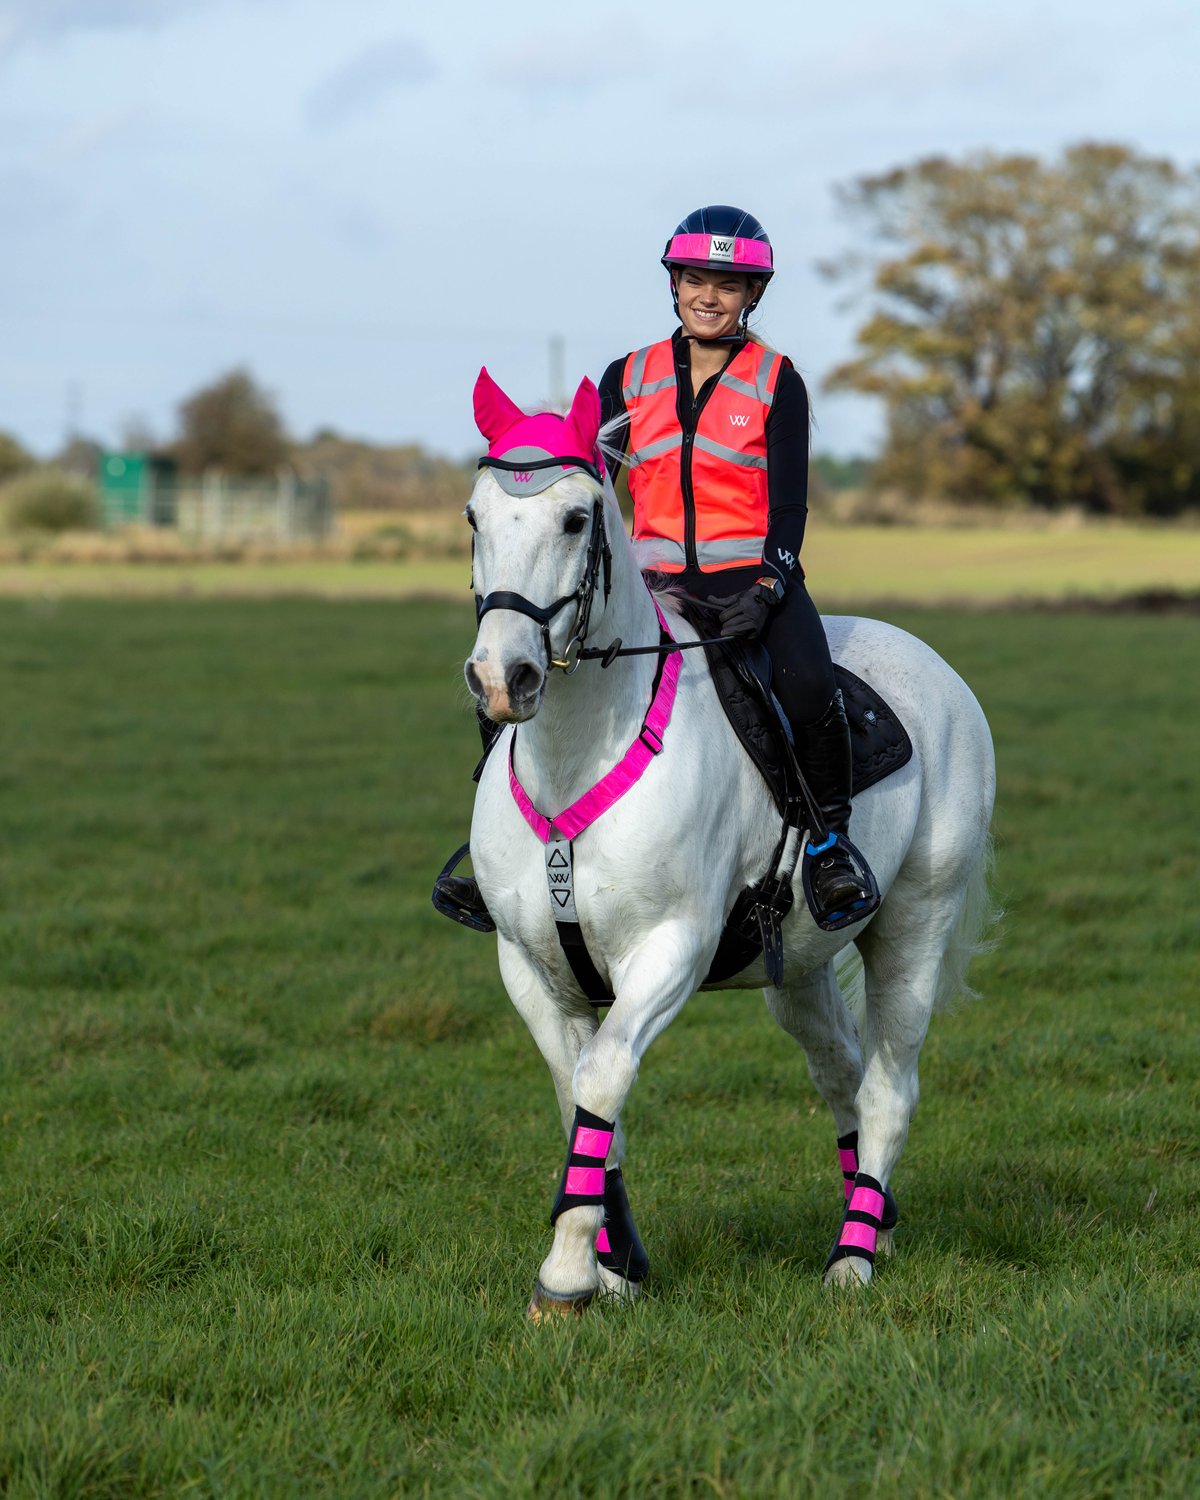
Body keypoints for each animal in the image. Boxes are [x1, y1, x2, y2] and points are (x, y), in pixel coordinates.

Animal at [461, 369, 997, 1317]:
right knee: (840, 1069)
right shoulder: (529, 965)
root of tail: (937, 667)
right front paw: (616, 1267)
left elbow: (603, 1078)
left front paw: (566, 1276)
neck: (579, 753)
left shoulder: (669, 950)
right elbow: (579, 1103)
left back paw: (851, 1259)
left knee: (888, 1086)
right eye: (474, 517)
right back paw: (878, 1222)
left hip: (916, 925)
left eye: (575, 518)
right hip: (802, 963)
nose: (502, 678)